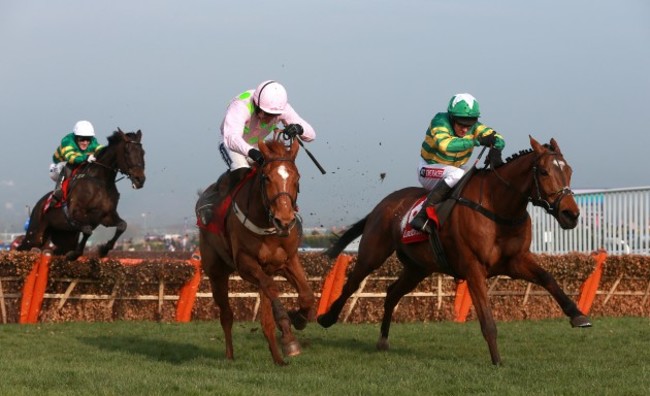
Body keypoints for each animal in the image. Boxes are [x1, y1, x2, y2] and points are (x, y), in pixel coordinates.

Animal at [17, 128, 146, 262]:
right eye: (127, 152)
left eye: (143, 152)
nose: (140, 180)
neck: (100, 182)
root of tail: (38, 205)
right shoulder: (75, 214)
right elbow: (87, 231)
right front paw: (75, 254)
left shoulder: (106, 216)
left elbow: (122, 226)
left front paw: (103, 249)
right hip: (35, 234)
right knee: (23, 247)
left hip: (64, 236)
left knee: (56, 250)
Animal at [196, 138, 316, 366]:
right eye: (266, 177)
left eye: (296, 177)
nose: (284, 221)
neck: (267, 226)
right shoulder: (245, 264)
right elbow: (271, 289)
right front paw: (288, 335)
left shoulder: (287, 260)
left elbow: (306, 295)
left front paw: (298, 319)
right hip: (216, 272)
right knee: (226, 315)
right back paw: (230, 356)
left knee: (265, 320)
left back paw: (278, 358)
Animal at [316, 136, 588, 366]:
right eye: (544, 171)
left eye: (569, 170)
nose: (571, 214)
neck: (498, 207)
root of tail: (381, 206)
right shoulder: (473, 268)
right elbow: (487, 320)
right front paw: (497, 361)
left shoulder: (515, 261)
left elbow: (547, 278)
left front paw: (577, 315)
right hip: (373, 253)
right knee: (352, 283)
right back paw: (326, 317)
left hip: (418, 268)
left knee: (392, 293)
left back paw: (383, 340)